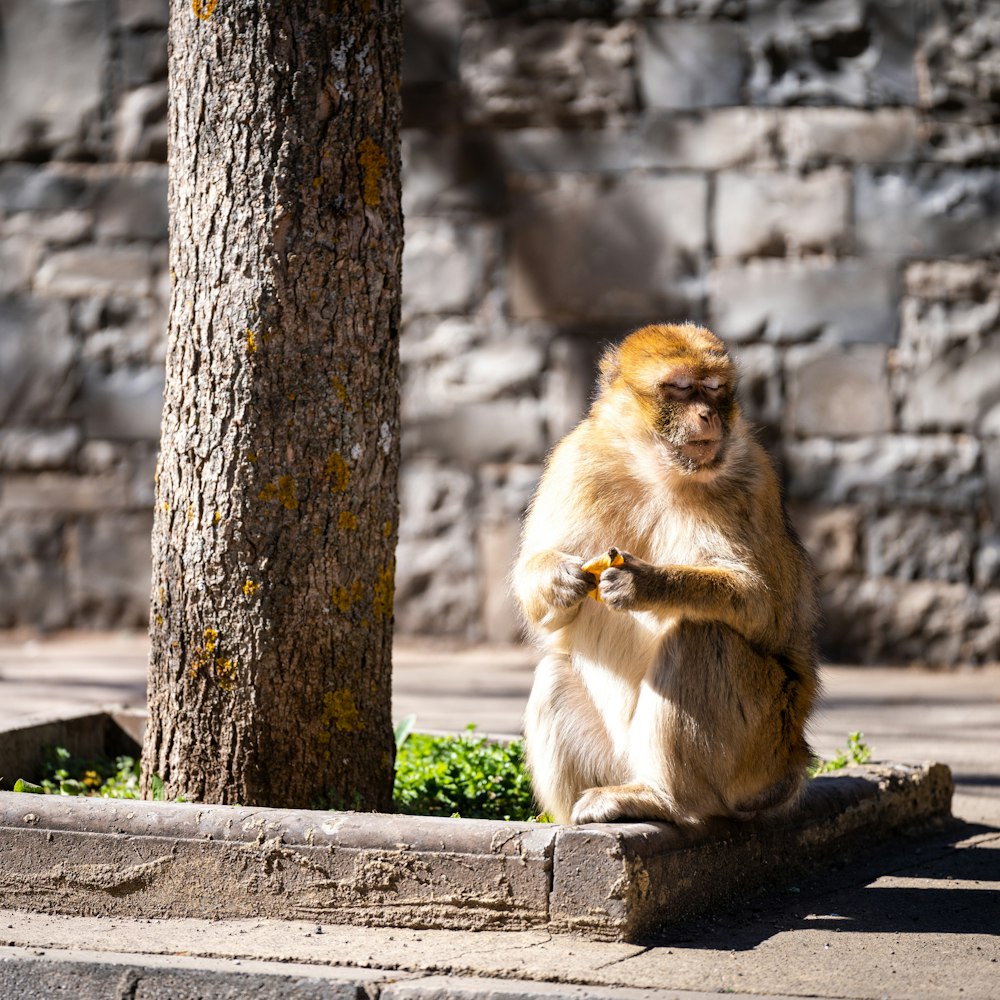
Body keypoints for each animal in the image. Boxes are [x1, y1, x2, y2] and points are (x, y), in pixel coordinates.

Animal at [516, 324, 820, 824]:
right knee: (553, 674)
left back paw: (663, 798)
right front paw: (558, 577)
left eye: (714, 388)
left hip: (761, 746)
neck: (653, 469)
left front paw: (647, 583)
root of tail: (791, 761)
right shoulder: (574, 462)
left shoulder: (754, 480)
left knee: (700, 635)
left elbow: (761, 604)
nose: (707, 415)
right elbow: (544, 610)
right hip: (615, 757)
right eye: (680, 387)